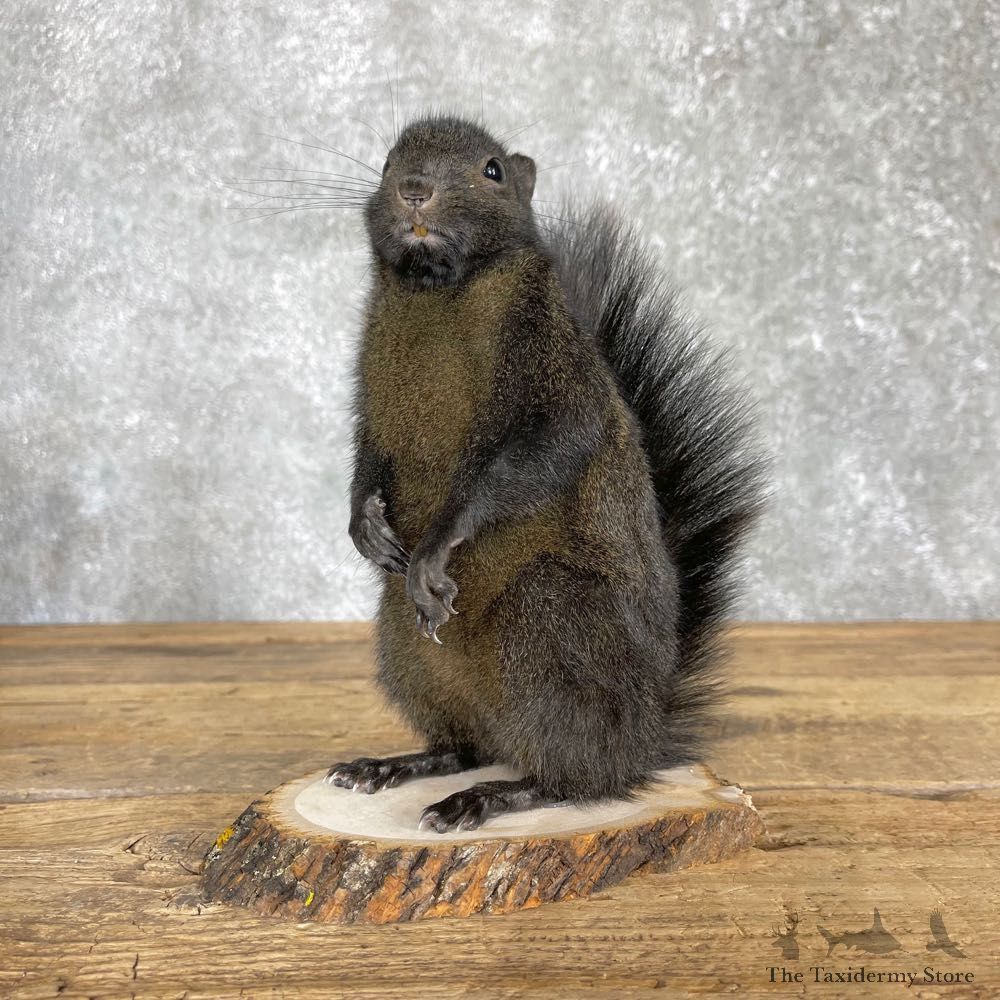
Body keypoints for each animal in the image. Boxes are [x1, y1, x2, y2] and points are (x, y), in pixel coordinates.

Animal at [325, 114, 766, 833]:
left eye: (493, 171)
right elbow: (367, 454)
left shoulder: (555, 373)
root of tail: (643, 736)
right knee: (464, 746)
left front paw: (434, 547)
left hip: (551, 623)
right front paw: (364, 524)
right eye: (389, 162)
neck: (438, 290)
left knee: (573, 779)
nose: (414, 189)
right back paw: (396, 766)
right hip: (407, 648)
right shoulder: (373, 394)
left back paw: (491, 796)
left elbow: (540, 454)